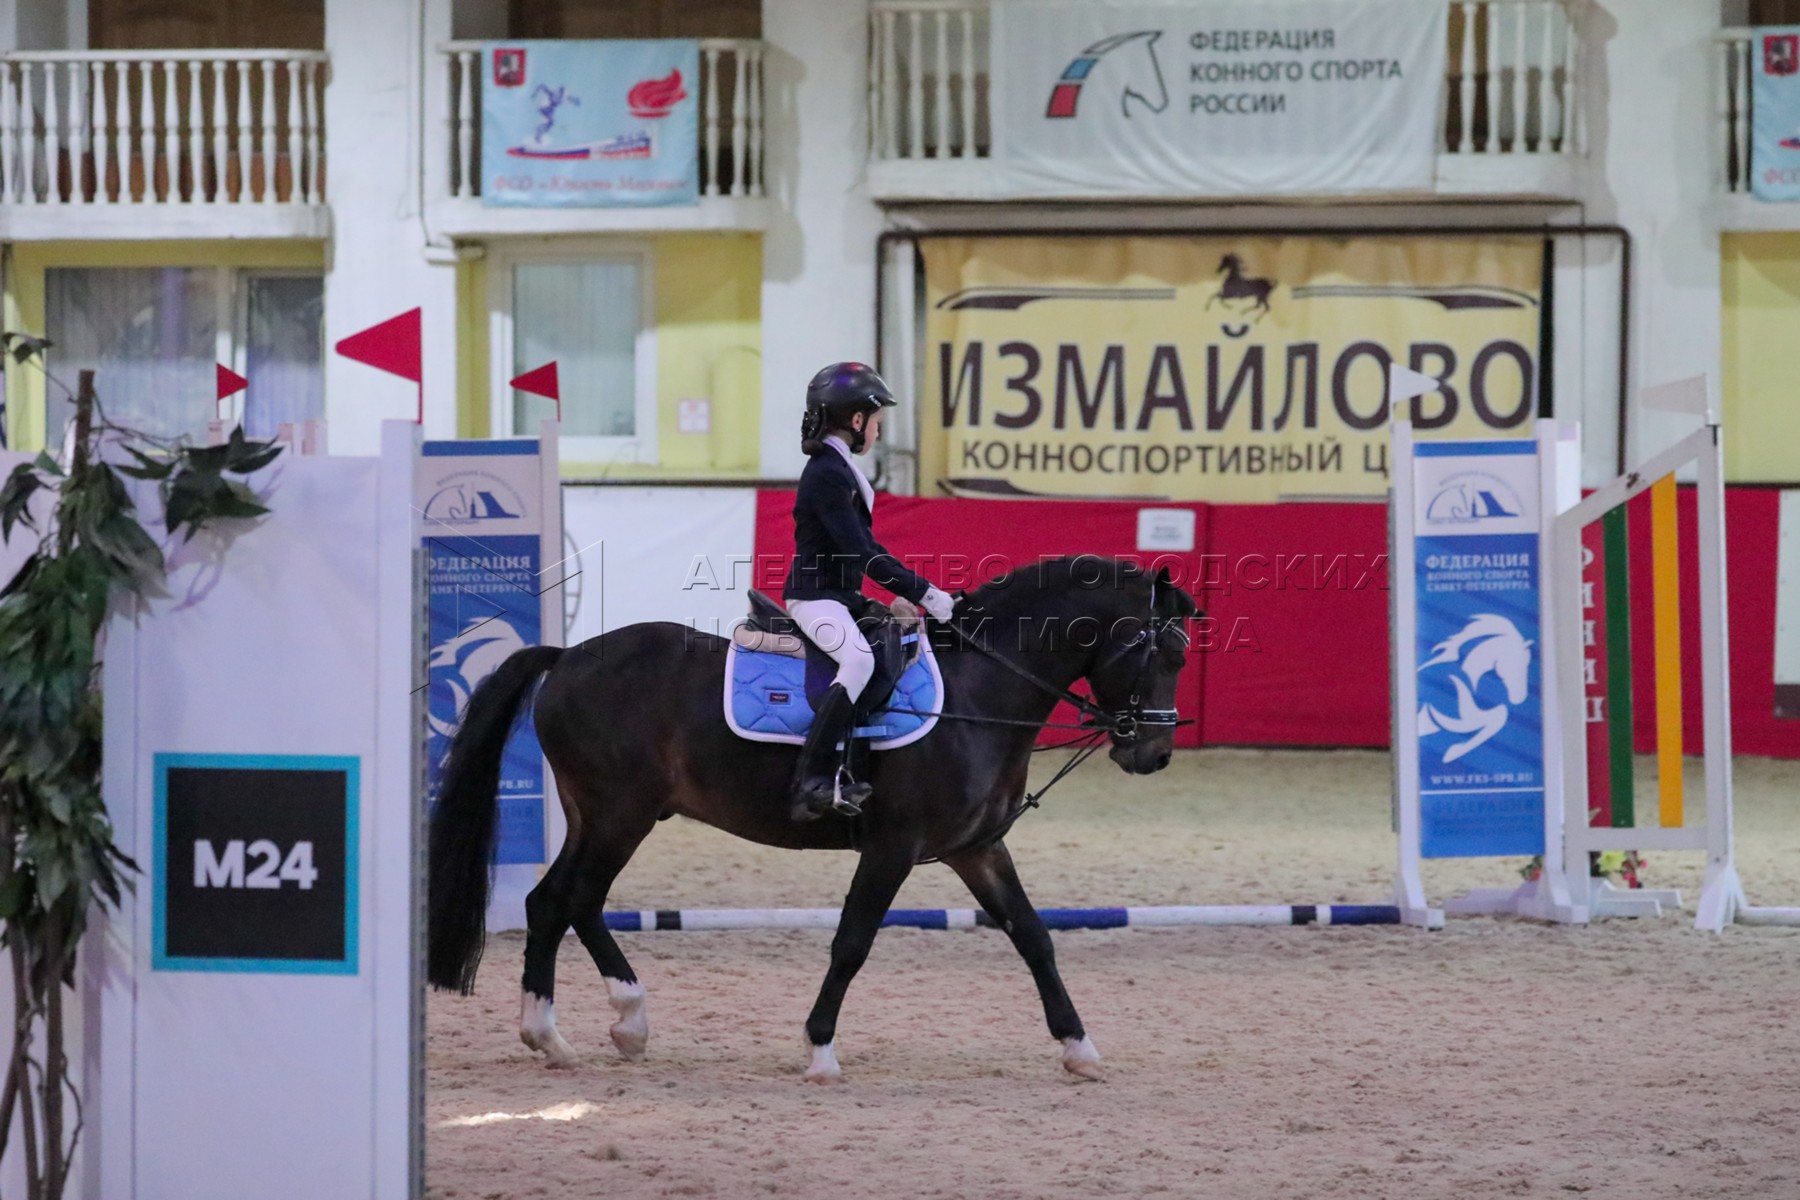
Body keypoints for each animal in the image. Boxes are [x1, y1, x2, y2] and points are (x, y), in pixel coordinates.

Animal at [424, 557, 1195, 1086]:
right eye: (1162, 651)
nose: (1154, 754)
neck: (980, 692)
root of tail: (569, 656)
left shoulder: (978, 849)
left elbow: (1034, 938)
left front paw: (1080, 1048)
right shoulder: (892, 847)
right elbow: (851, 943)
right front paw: (820, 1049)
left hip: (602, 815)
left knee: (563, 902)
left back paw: (602, 1028)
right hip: (620, 813)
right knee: (567, 899)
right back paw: (564, 1030)